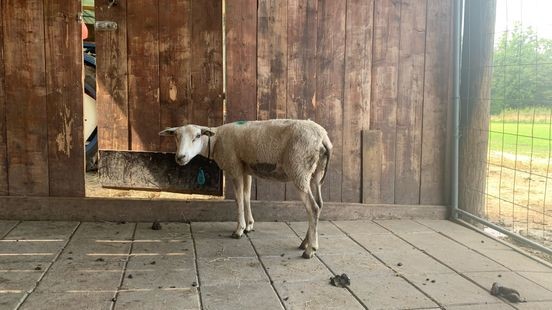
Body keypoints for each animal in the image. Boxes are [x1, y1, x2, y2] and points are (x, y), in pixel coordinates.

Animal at [160, 120, 332, 258]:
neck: (215, 140)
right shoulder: (246, 170)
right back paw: (305, 242)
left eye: (197, 136)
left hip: (299, 168)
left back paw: (310, 249)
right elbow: (246, 196)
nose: (180, 157)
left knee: (313, 208)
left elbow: (238, 200)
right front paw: (249, 225)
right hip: (316, 173)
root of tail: (323, 137)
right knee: (319, 205)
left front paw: (239, 230)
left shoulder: (235, 168)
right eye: (176, 136)